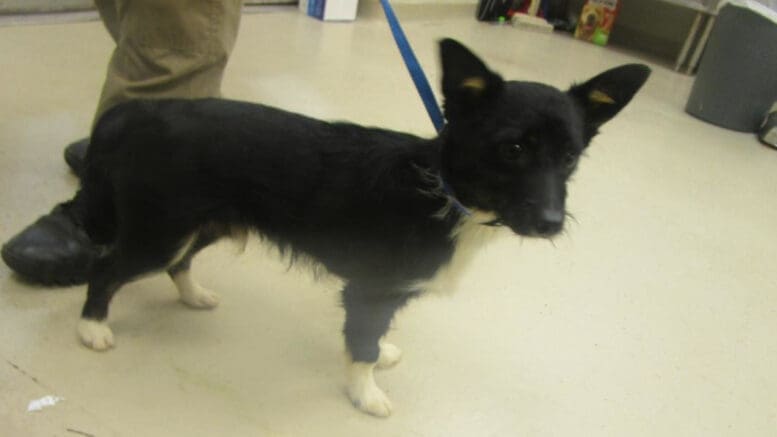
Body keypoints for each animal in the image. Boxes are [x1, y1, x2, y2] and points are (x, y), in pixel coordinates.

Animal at [71, 40, 648, 416]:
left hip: (202, 222)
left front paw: (381, 355)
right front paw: (365, 393)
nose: (551, 225)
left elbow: (373, 335)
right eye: (513, 149)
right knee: (107, 267)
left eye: (570, 157)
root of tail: (139, 113)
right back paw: (92, 328)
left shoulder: (386, 292)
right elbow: (363, 344)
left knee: (180, 263)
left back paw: (193, 295)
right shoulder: (370, 289)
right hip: (162, 227)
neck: (444, 192)